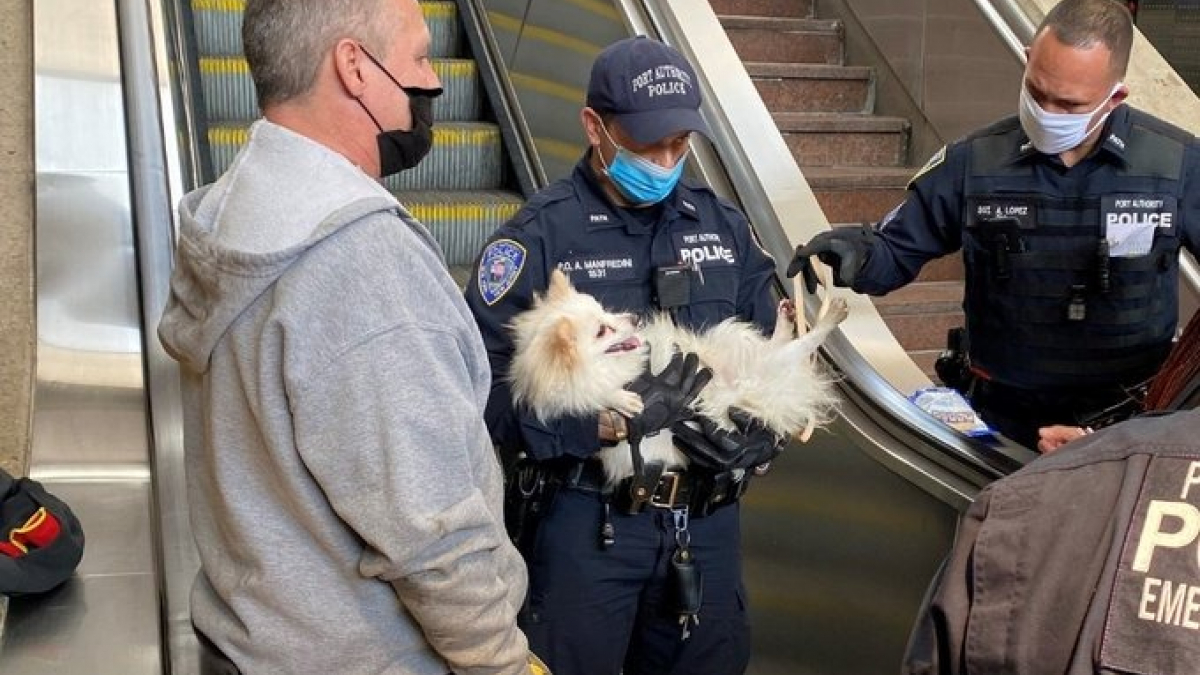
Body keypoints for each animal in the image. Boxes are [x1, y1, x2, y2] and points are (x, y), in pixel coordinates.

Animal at [506, 265, 844, 480]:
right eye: (602, 331)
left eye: (604, 310)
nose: (633, 318)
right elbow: (598, 394)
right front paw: (626, 399)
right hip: (760, 375)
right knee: (796, 348)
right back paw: (829, 318)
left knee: (782, 346)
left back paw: (790, 319)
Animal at [787, 1, 1200, 451]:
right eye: (1036, 89)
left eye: (1070, 103)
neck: (1075, 155)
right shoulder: (951, 163)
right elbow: (900, 249)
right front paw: (845, 250)